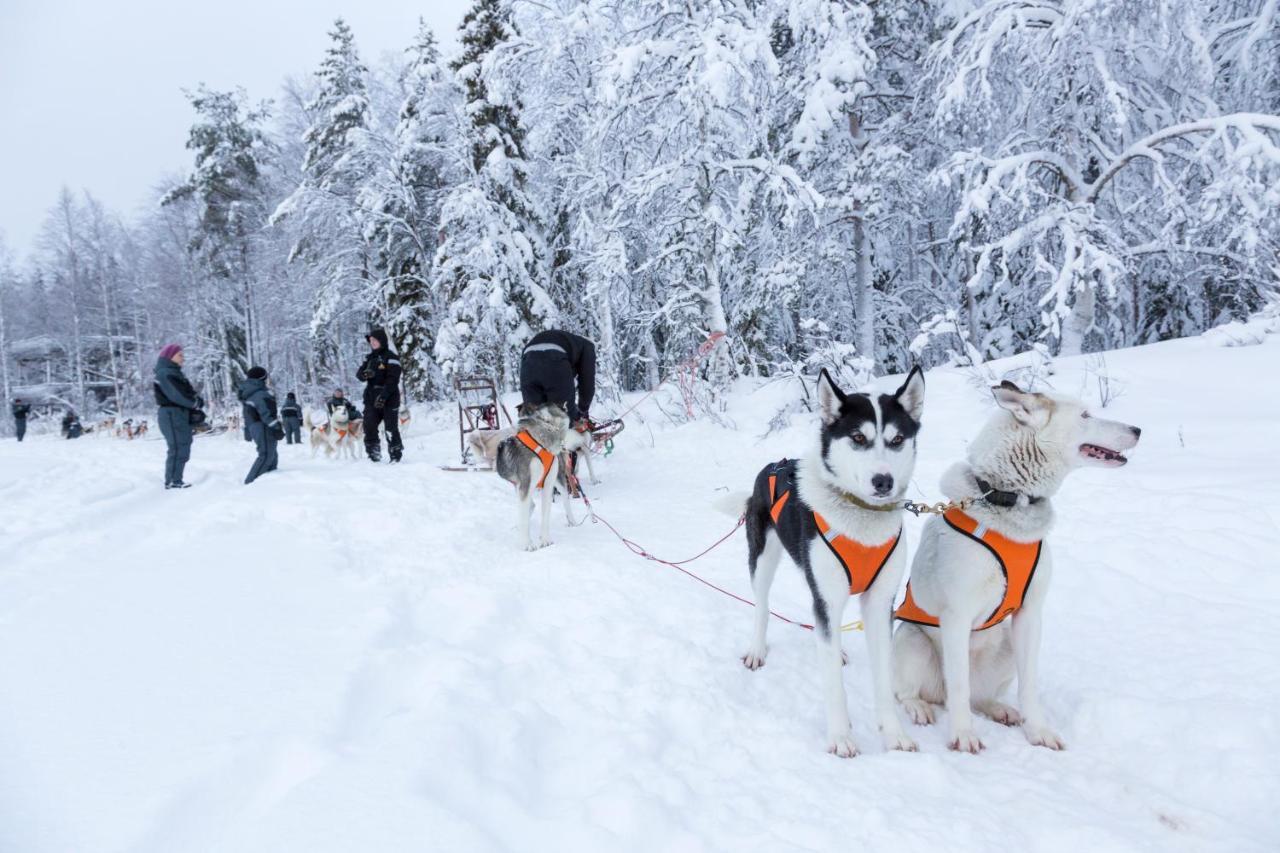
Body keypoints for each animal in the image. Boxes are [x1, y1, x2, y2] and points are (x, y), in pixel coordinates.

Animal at [747, 363, 926, 753]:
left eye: (896, 440)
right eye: (858, 438)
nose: (883, 481)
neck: (860, 519)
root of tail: (773, 465)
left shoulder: (879, 602)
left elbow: (883, 677)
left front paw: (894, 734)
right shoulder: (827, 597)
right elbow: (832, 685)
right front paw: (841, 736)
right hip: (762, 561)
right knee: (761, 607)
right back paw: (756, 649)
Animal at [890, 379, 1141, 753]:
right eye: (1085, 415)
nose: (1138, 430)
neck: (1006, 496)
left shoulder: (1030, 614)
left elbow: (1029, 685)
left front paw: (1037, 729)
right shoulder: (956, 617)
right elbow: (959, 686)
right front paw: (963, 734)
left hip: (1006, 641)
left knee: (978, 697)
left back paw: (999, 709)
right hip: (912, 642)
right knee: (919, 692)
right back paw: (920, 706)